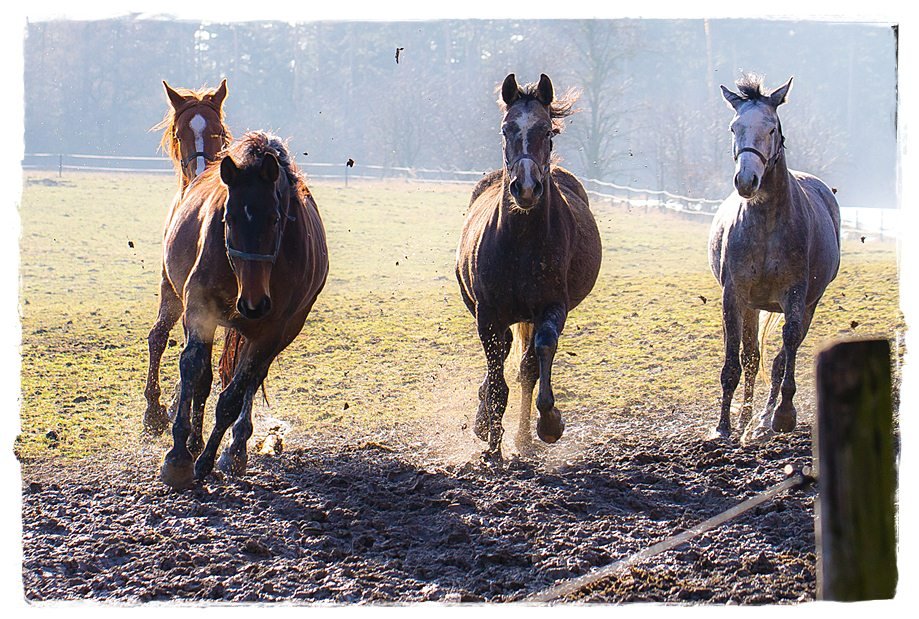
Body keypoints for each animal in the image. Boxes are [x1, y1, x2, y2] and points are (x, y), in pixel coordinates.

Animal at [156, 133, 328, 492]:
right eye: (229, 218)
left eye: (275, 219)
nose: (254, 303)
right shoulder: (199, 312)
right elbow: (194, 371)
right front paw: (178, 456)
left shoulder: (270, 333)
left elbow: (232, 397)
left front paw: (209, 459)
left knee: (251, 379)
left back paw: (234, 449)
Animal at [458, 74, 604, 460]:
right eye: (506, 128)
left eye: (547, 131)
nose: (525, 188)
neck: (521, 242)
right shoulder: (487, 313)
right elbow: (496, 374)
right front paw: (492, 445)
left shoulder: (551, 307)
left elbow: (537, 357)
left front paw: (548, 424)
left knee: (524, 366)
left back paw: (522, 437)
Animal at [712, 75, 840, 444]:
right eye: (734, 127)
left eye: (771, 129)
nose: (746, 181)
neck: (767, 222)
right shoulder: (735, 295)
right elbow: (737, 358)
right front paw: (723, 426)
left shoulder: (795, 295)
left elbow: (787, 349)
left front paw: (782, 416)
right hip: (753, 306)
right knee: (753, 358)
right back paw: (745, 420)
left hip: (809, 303)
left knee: (782, 354)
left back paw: (764, 421)